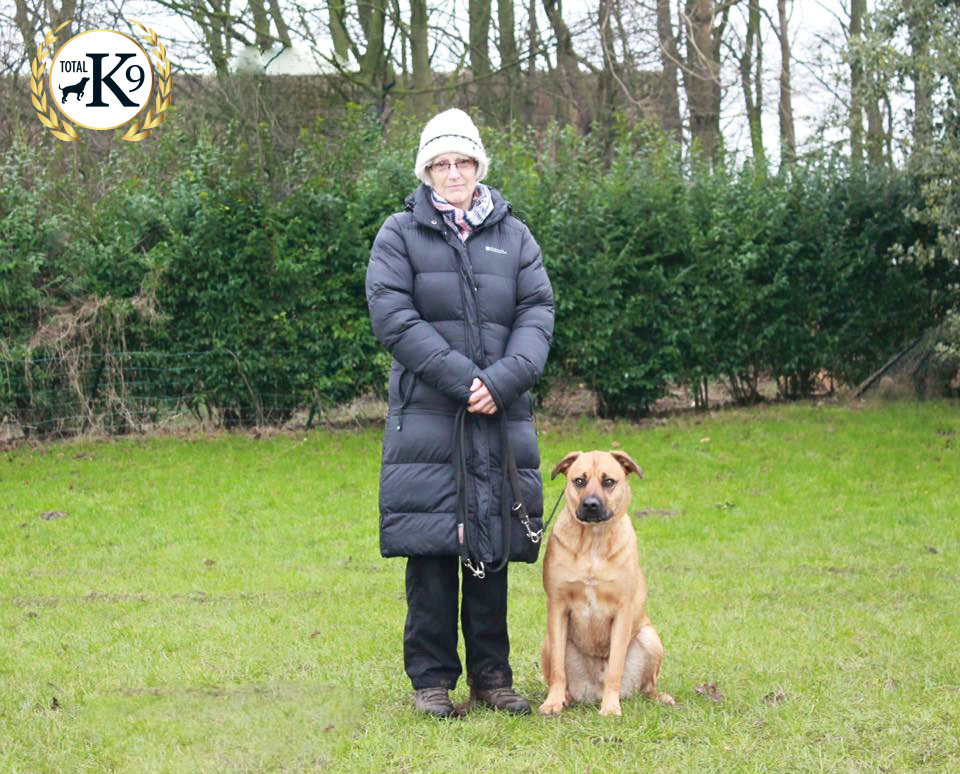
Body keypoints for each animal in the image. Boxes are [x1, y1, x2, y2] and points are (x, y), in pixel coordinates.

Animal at [540, 452, 676, 720]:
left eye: (609, 481)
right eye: (579, 480)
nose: (591, 505)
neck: (593, 542)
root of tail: (593, 690)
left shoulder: (622, 611)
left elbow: (615, 667)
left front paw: (611, 707)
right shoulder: (558, 607)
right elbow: (558, 670)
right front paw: (553, 702)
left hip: (650, 638)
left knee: (647, 687)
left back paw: (658, 698)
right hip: (547, 642)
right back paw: (566, 698)